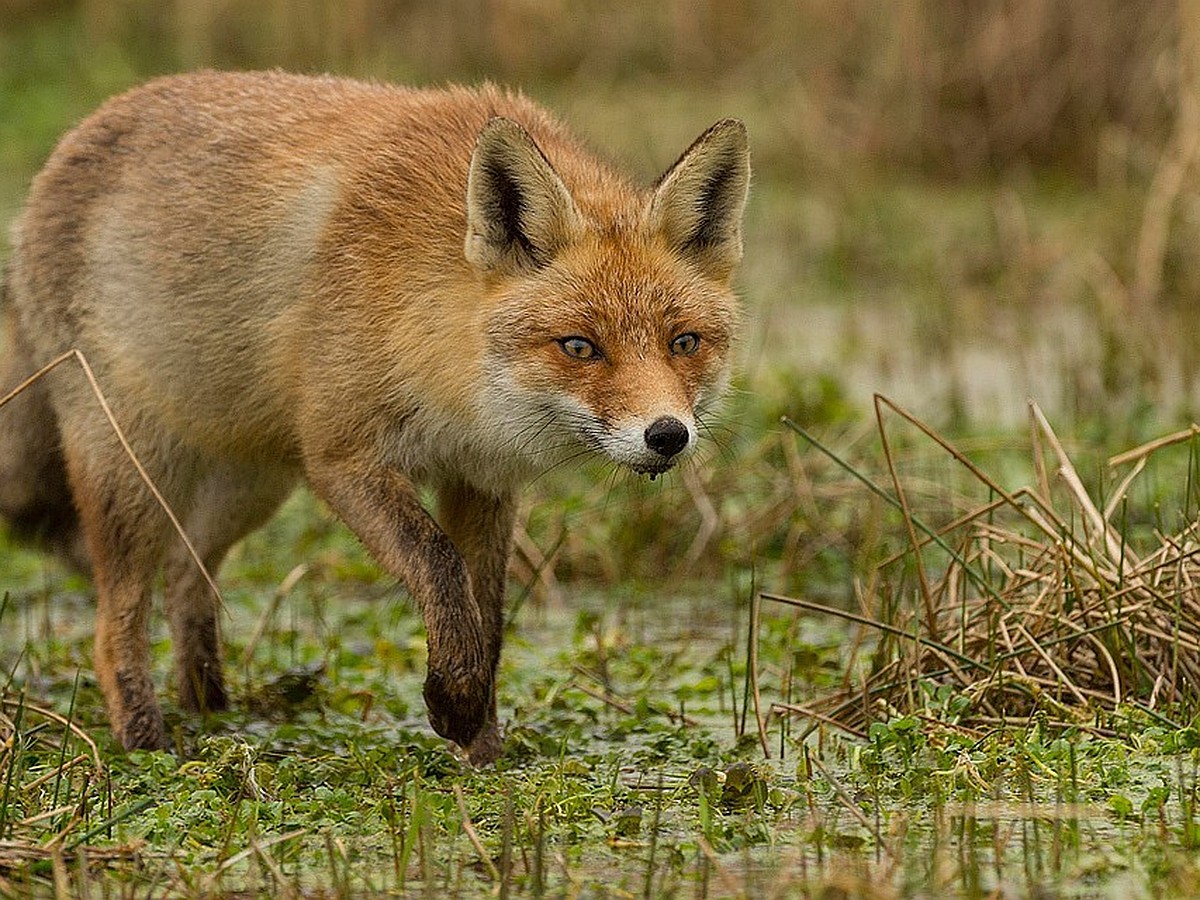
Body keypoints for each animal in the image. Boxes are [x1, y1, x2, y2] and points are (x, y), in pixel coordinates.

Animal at [0, 70, 748, 763]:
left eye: (684, 342)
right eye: (580, 347)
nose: (667, 436)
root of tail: (72, 139)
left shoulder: (481, 481)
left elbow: (487, 620)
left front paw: (482, 752)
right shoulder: (341, 458)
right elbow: (439, 567)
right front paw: (453, 706)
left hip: (253, 484)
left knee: (188, 577)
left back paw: (214, 715)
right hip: (134, 471)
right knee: (116, 621)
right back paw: (148, 746)